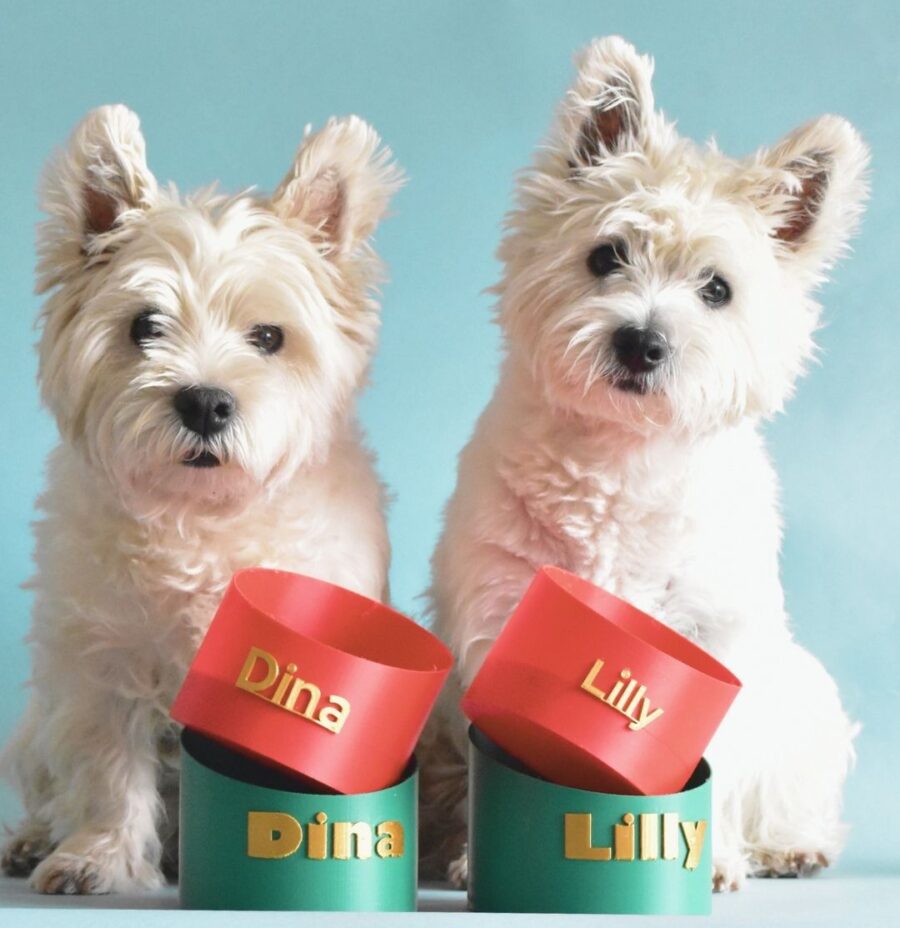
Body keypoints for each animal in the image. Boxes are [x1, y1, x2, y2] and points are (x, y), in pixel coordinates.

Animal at [0, 105, 400, 896]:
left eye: (269, 336)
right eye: (144, 327)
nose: (206, 403)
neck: (201, 519)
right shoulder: (104, 663)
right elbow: (107, 770)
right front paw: (98, 858)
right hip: (35, 724)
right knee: (48, 781)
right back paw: (31, 841)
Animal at [426, 38, 868, 892]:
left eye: (718, 290)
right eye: (607, 255)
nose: (641, 342)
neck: (619, 460)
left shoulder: (709, 637)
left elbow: (711, 753)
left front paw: (707, 859)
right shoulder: (503, 607)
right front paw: (478, 858)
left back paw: (788, 847)